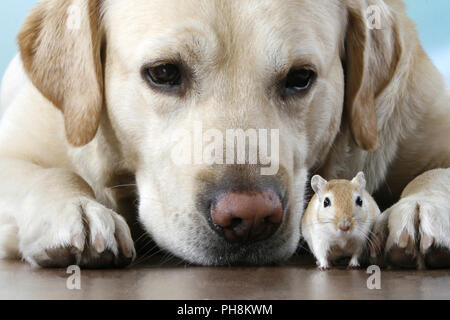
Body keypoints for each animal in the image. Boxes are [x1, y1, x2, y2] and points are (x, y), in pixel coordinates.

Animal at [0, 0, 448, 268]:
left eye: (300, 78)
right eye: (164, 72)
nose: (249, 218)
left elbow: (437, 173)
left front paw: (421, 209)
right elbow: (51, 174)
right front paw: (76, 210)